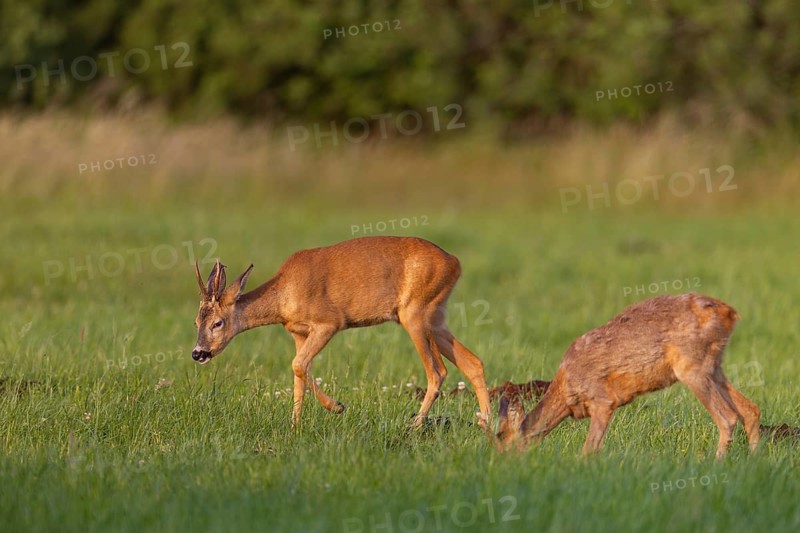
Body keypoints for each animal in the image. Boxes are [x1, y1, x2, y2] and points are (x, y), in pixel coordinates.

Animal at [191, 236, 492, 430]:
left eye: (217, 323)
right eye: (196, 322)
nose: (198, 353)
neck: (283, 294)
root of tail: (454, 262)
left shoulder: (329, 322)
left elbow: (298, 365)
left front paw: (337, 407)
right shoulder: (298, 333)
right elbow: (298, 375)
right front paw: (294, 427)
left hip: (414, 314)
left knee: (437, 371)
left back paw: (415, 426)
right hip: (436, 316)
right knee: (473, 362)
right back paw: (486, 422)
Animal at [480, 293, 760, 458]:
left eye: (504, 447)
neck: (567, 386)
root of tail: (730, 313)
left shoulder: (603, 401)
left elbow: (589, 450)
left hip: (692, 368)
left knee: (728, 418)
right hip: (714, 367)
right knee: (750, 410)